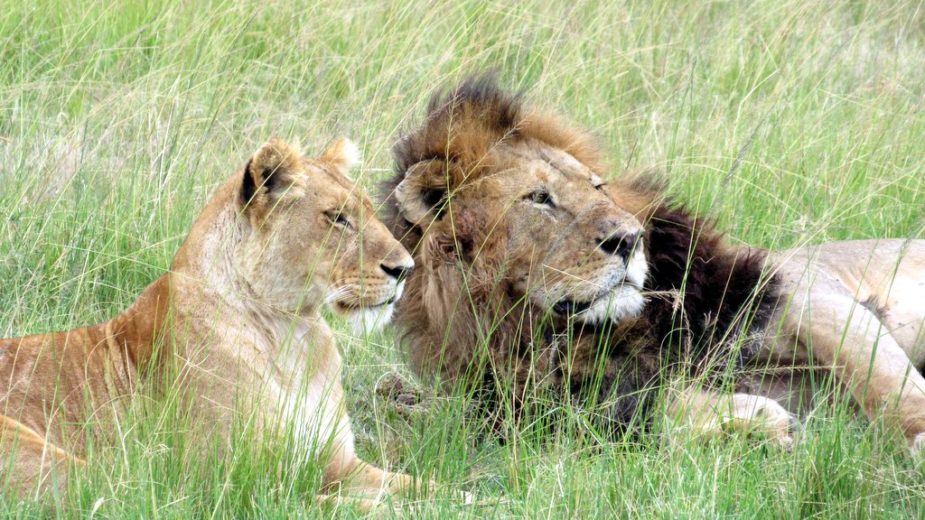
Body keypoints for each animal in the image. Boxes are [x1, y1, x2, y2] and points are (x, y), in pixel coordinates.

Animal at [0, 137, 431, 508]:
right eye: (337, 218)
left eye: (371, 210)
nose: (405, 269)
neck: (291, 332)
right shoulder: (235, 481)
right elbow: (333, 504)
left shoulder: (339, 463)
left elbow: (421, 485)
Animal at [380, 75, 925, 451]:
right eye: (539, 198)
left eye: (596, 186)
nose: (629, 239)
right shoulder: (559, 408)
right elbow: (663, 410)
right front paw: (759, 422)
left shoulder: (803, 291)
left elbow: (884, 382)